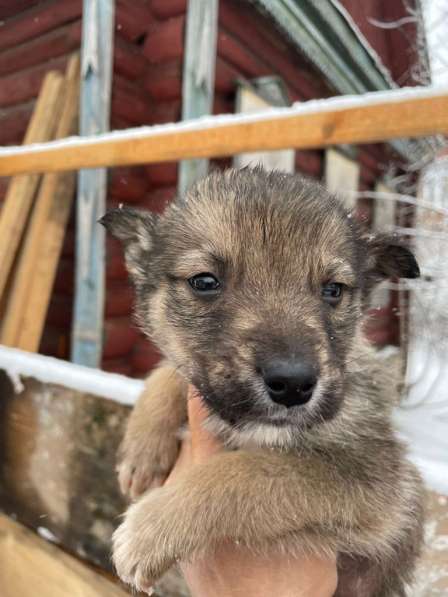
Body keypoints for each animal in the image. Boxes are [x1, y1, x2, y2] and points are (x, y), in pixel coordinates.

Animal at [101, 168, 424, 596]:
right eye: (205, 282)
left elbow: (249, 471)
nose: (293, 384)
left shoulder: (373, 476)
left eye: (333, 290)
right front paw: (142, 451)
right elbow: (169, 371)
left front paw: (148, 533)